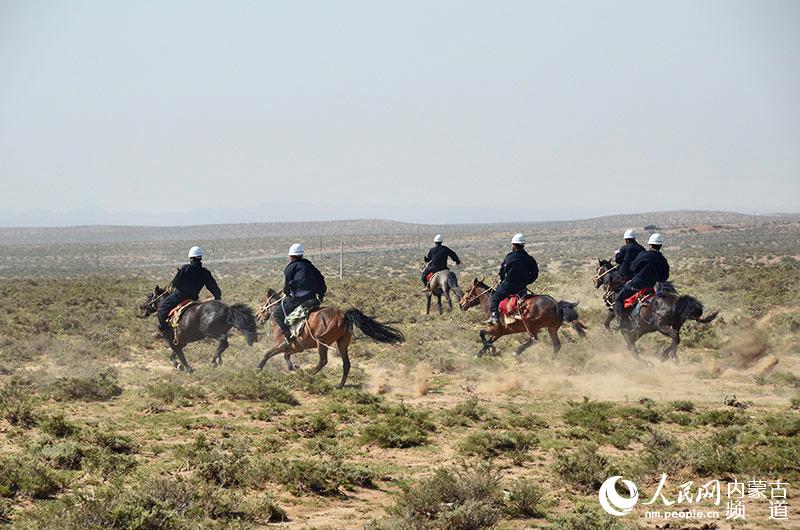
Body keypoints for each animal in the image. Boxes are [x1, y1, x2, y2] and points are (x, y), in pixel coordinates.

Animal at [258, 288, 406, 388]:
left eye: (262, 303)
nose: (258, 317)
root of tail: (344, 315)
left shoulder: (283, 345)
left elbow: (268, 354)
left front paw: (258, 368)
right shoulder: (297, 347)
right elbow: (286, 356)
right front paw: (293, 366)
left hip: (322, 343)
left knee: (323, 361)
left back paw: (309, 375)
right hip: (342, 343)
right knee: (346, 364)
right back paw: (339, 385)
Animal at [456, 276, 588, 354]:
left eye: (467, 290)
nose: (461, 304)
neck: (491, 303)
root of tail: (556, 304)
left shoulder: (496, 329)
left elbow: (482, 334)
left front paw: (490, 349)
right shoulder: (499, 332)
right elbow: (488, 340)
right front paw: (481, 353)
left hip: (532, 326)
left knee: (534, 340)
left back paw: (518, 351)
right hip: (551, 328)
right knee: (556, 345)